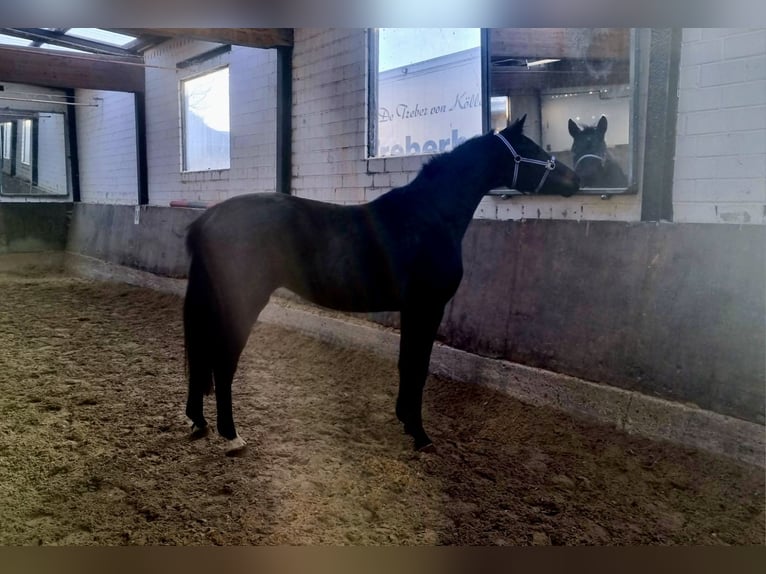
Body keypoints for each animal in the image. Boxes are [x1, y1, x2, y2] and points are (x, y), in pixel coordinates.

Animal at [183, 114, 580, 456]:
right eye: (531, 147)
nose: (574, 180)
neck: (429, 216)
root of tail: (208, 218)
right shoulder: (427, 307)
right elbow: (418, 367)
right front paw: (420, 435)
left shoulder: (411, 309)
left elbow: (407, 363)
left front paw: (405, 420)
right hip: (244, 302)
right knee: (223, 361)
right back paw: (232, 436)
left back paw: (199, 422)